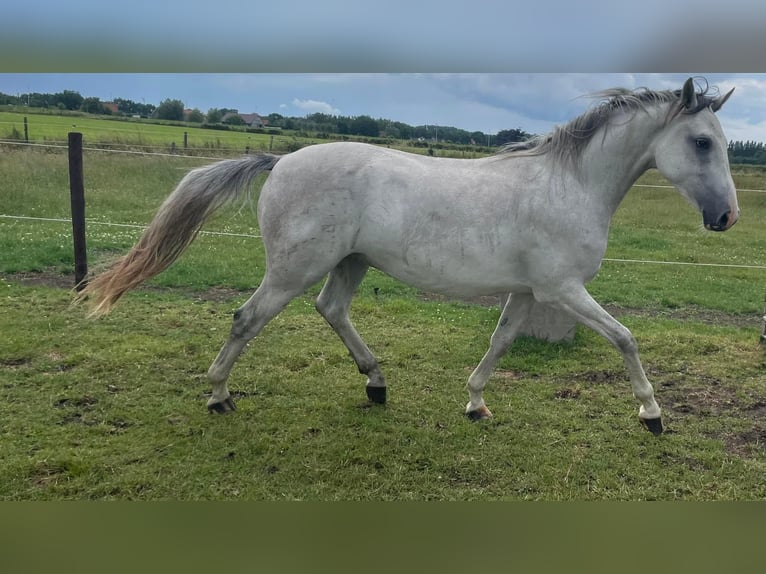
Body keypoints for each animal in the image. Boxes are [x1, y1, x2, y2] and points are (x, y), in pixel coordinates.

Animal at [78, 77, 736, 436]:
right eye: (702, 142)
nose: (727, 218)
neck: (569, 184)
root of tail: (281, 159)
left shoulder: (529, 292)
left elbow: (500, 342)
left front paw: (475, 402)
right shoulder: (563, 290)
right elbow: (625, 338)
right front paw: (651, 415)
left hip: (351, 262)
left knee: (332, 310)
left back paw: (376, 383)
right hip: (293, 269)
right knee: (246, 318)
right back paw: (218, 396)